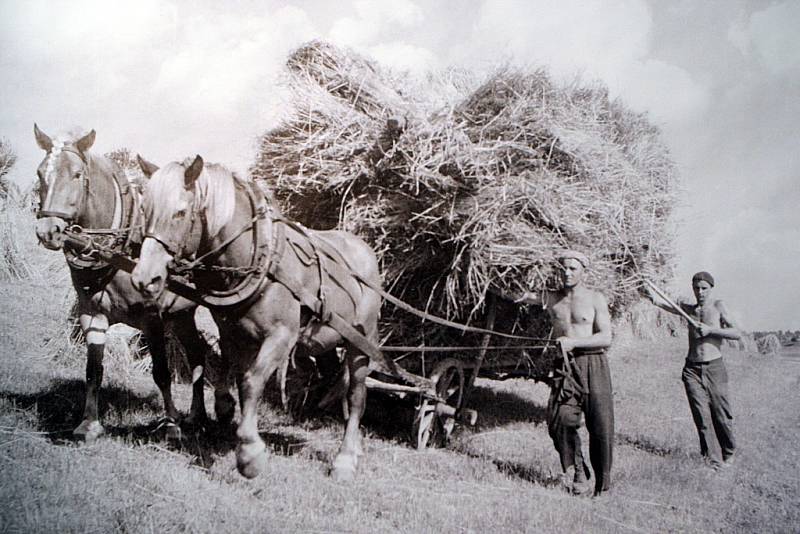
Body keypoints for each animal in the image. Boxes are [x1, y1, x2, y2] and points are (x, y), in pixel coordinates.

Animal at [34, 126, 234, 444]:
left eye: (77, 174)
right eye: (41, 173)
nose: (48, 231)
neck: (120, 252)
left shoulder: (152, 317)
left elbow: (162, 373)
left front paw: (171, 424)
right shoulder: (91, 315)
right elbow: (93, 370)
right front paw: (89, 424)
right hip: (181, 314)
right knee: (196, 355)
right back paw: (197, 416)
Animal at [129, 157, 384, 484]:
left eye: (180, 212)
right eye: (145, 210)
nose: (144, 279)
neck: (260, 258)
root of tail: (364, 249)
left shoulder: (281, 336)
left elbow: (251, 382)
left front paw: (250, 454)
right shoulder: (233, 332)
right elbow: (236, 377)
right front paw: (226, 412)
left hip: (361, 341)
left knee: (356, 394)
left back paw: (346, 458)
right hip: (326, 341)